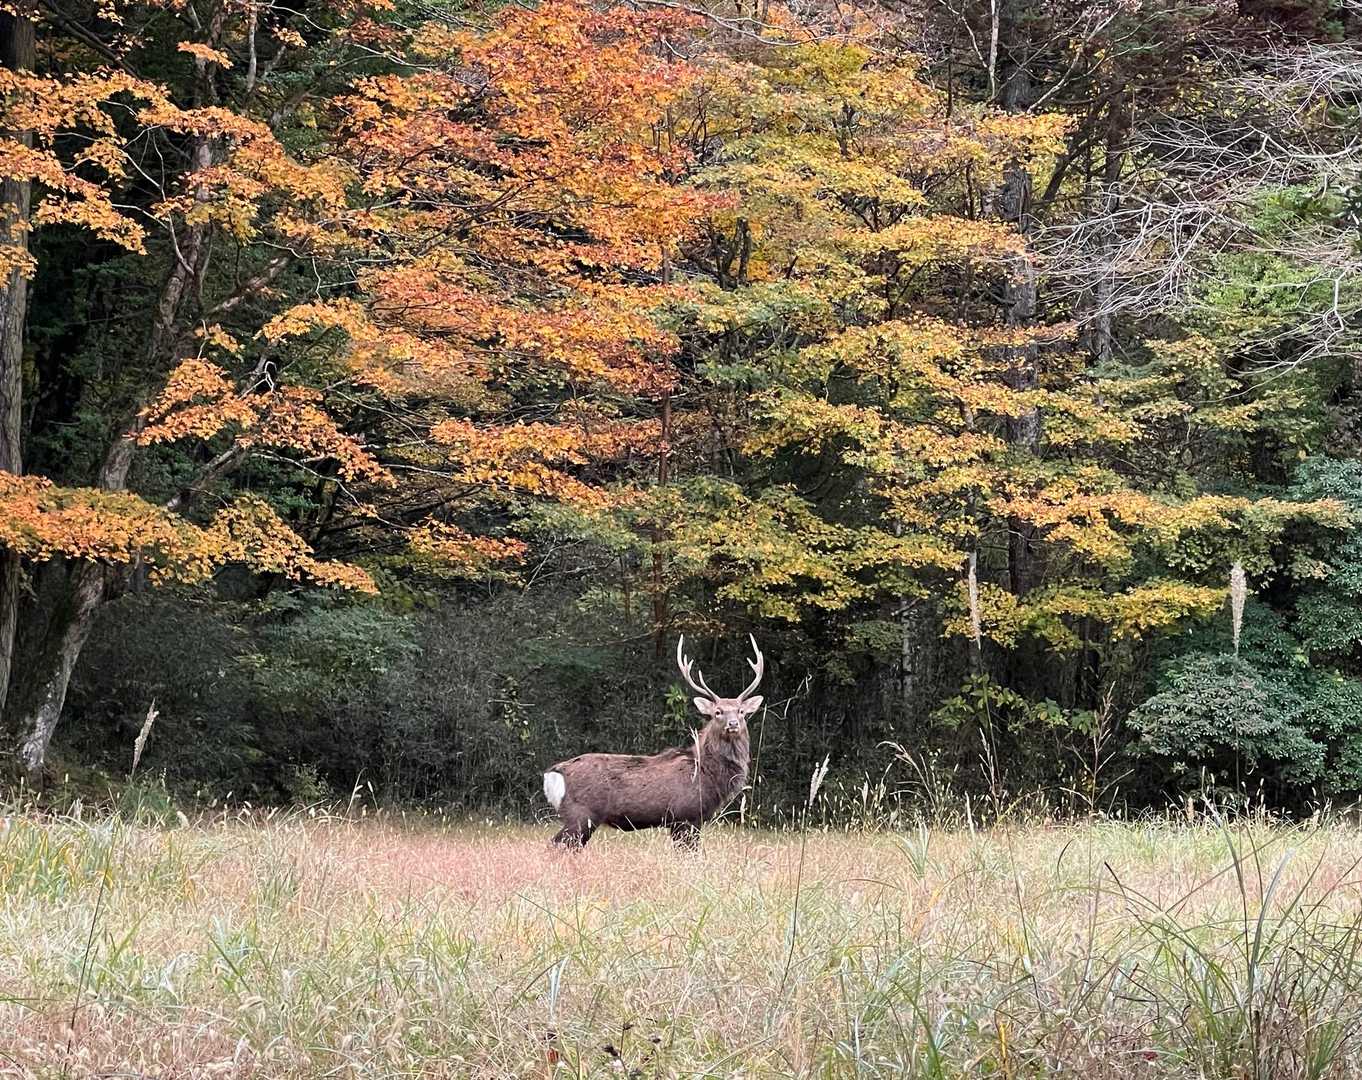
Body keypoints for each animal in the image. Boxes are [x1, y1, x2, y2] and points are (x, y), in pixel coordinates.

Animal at [541, 635, 764, 849]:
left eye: (741, 711)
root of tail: (552, 773)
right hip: (580, 813)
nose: (733, 724)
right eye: (718, 712)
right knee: (557, 844)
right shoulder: (685, 815)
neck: (707, 772)